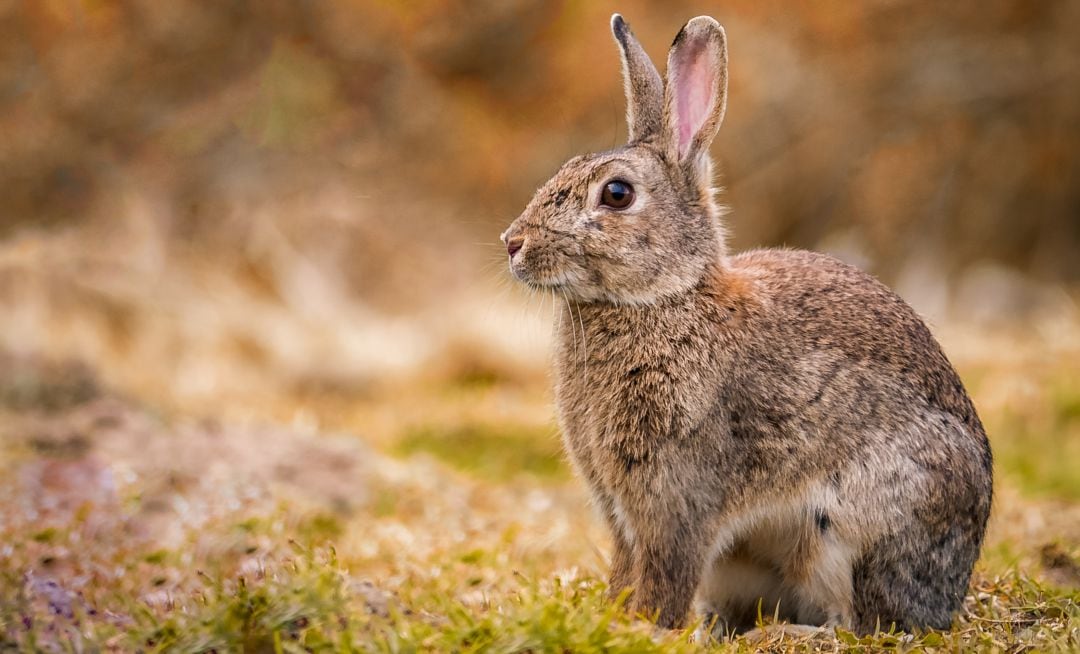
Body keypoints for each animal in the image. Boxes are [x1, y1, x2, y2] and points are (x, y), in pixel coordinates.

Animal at [501, 12, 989, 638]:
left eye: (616, 193)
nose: (513, 243)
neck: (663, 298)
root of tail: (951, 591)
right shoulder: (620, 505)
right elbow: (626, 565)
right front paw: (614, 617)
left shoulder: (676, 493)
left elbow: (666, 568)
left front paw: (646, 627)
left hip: (852, 531)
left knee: (858, 621)